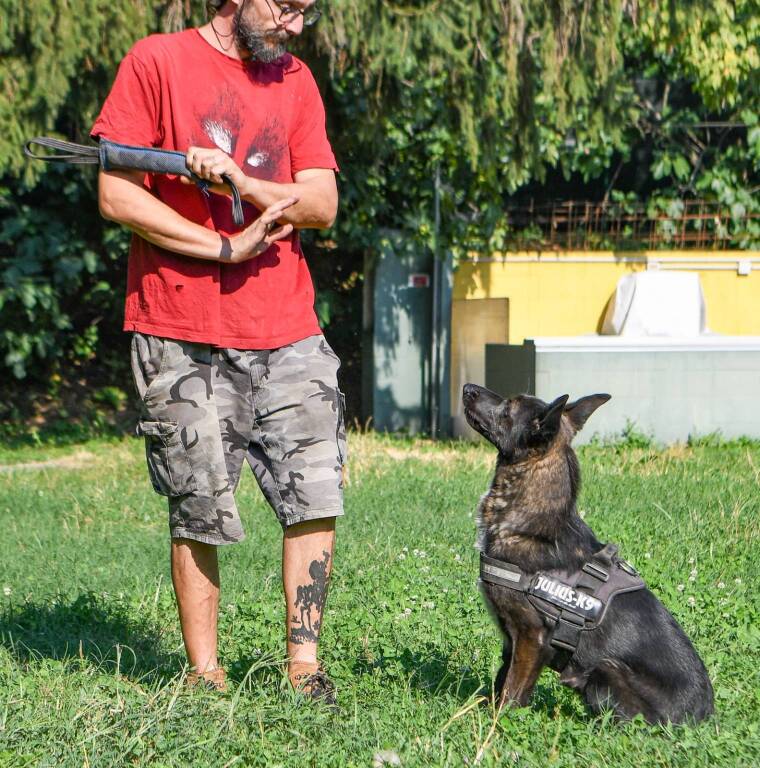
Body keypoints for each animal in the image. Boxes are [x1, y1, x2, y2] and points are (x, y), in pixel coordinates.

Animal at [460, 388, 716, 724]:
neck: (527, 524)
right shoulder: (510, 640)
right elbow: (500, 682)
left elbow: (511, 693)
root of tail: (704, 720)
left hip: (606, 671)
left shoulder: (531, 639)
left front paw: (497, 725)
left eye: (508, 408)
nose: (468, 388)